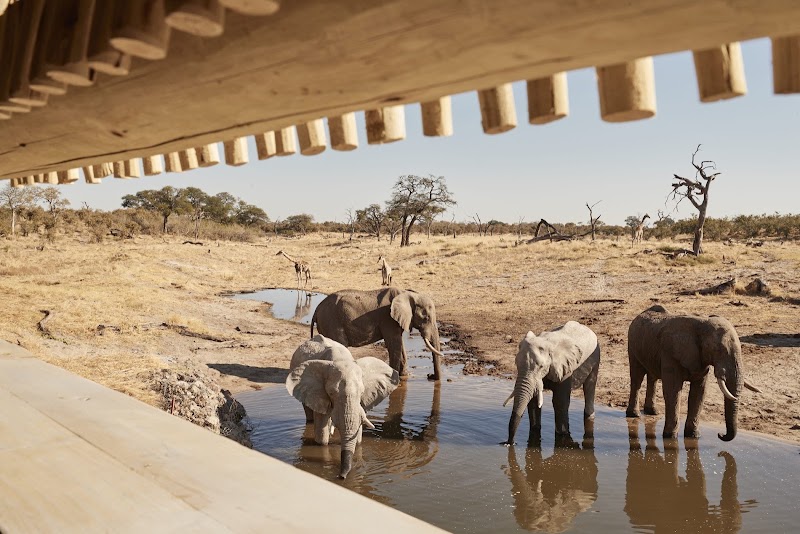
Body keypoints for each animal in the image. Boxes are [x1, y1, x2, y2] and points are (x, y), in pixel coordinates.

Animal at [286, 335, 400, 479]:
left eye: (361, 392)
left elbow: (358, 435)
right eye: (331, 393)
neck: (341, 360)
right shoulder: (318, 392)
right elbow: (322, 435)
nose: (341, 476)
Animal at [310, 287, 445, 380]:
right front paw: (395, 378)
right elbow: (394, 344)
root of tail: (316, 310)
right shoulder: (388, 319)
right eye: (426, 318)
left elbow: (400, 345)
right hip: (331, 322)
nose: (430, 376)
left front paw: (404, 376)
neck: (407, 293)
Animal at [626, 305, 761, 441]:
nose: (720, 435)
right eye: (718, 350)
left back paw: (652, 412)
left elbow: (699, 392)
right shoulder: (670, 354)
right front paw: (670, 437)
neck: (702, 323)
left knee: (652, 377)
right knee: (637, 378)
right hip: (632, 346)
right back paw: (634, 415)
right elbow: (673, 391)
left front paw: (694, 436)